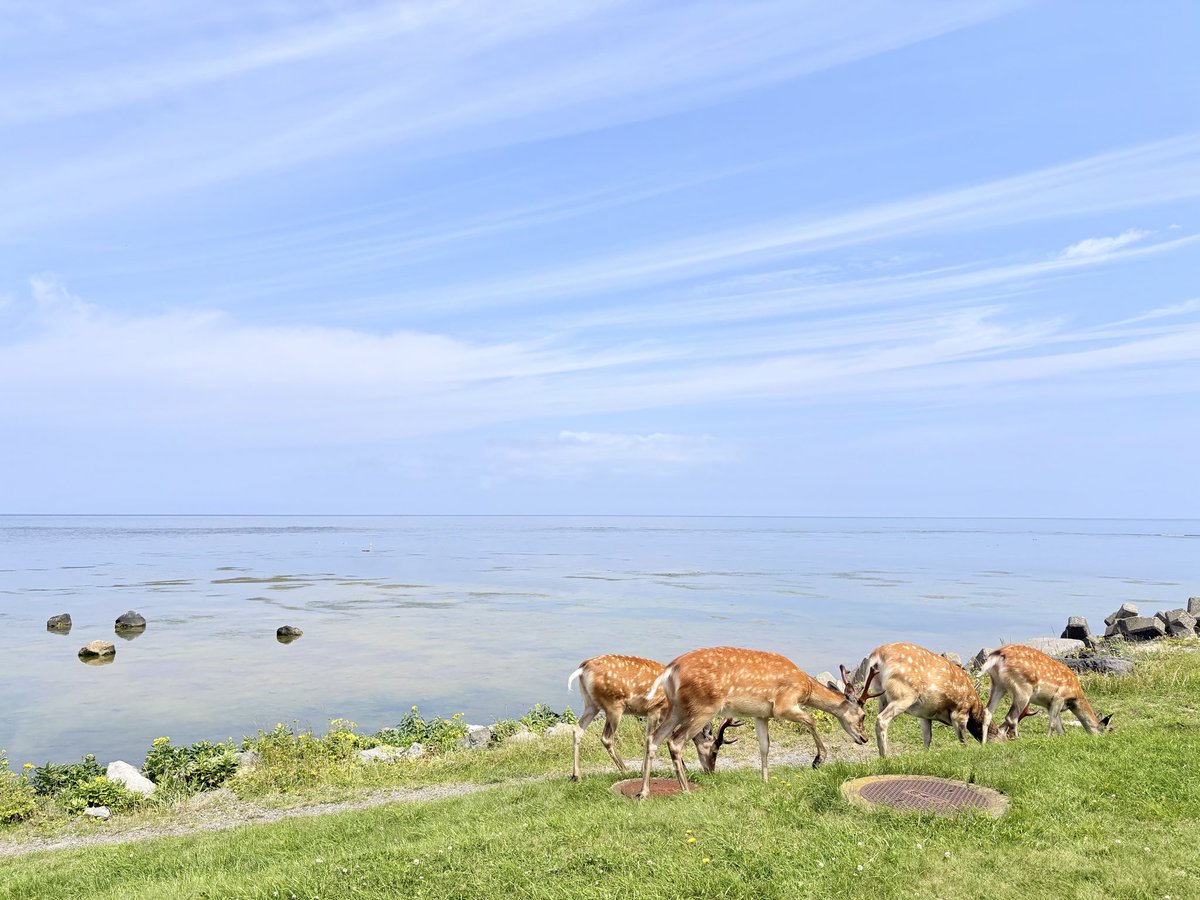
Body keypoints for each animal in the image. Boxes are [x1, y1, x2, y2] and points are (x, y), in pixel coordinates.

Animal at [566, 654, 742, 781]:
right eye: (715, 751)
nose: (711, 771)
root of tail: (583, 668)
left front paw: (683, 767)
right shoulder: (655, 709)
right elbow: (649, 738)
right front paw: (643, 770)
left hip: (591, 704)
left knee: (577, 730)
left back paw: (576, 775)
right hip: (613, 706)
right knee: (606, 737)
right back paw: (625, 770)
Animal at [636, 647, 870, 799]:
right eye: (862, 715)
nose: (865, 738)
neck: (806, 688)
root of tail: (669, 672)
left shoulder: (762, 714)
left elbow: (765, 746)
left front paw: (765, 781)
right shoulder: (783, 705)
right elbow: (811, 720)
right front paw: (818, 759)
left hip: (676, 708)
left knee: (653, 738)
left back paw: (643, 792)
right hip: (703, 706)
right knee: (675, 741)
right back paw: (685, 790)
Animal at [980, 644, 1113, 739]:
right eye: (1107, 729)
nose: (1100, 738)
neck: (1075, 696)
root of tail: (997, 655)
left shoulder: (1050, 705)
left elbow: (1060, 727)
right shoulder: (1059, 697)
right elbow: (1053, 724)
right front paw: (1048, 739)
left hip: (998, 684)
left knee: (987, 712)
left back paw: (984, 743)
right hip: (1022, 688)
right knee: (1011, 717)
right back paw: (1017, 739)